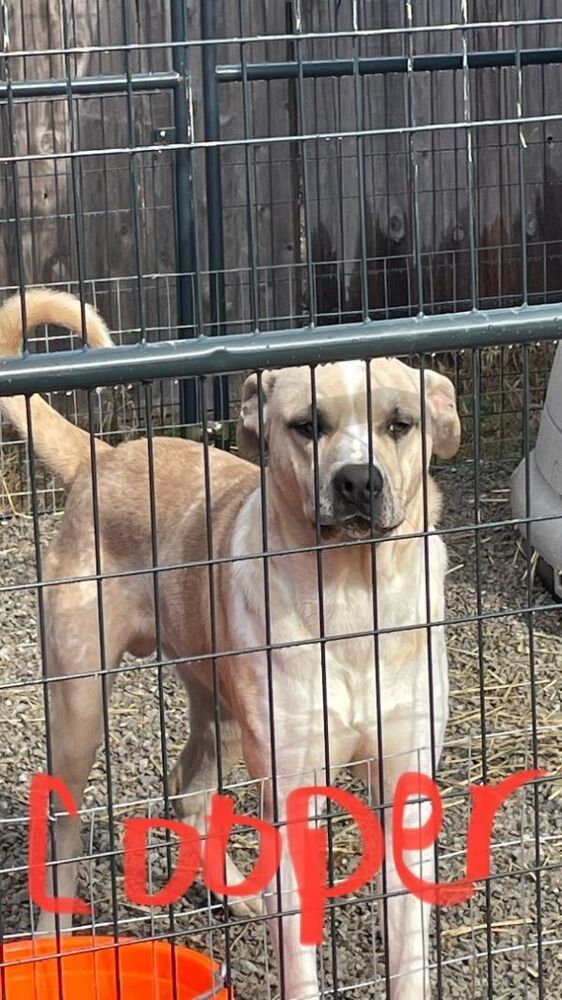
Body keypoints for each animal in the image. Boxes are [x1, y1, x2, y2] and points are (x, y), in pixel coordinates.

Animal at [1, 292, 460, 1000]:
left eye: (400, 424)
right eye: (307, 426)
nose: (358, 481)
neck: (356, 600)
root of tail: (104, 456)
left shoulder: (405, 785)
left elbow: (409, 952)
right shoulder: (293, 791)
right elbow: (299, 956)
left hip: (218, 714)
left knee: (186, 790)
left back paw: (240, 895)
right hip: (79, 707)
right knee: (64, 824)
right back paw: (54, 943)